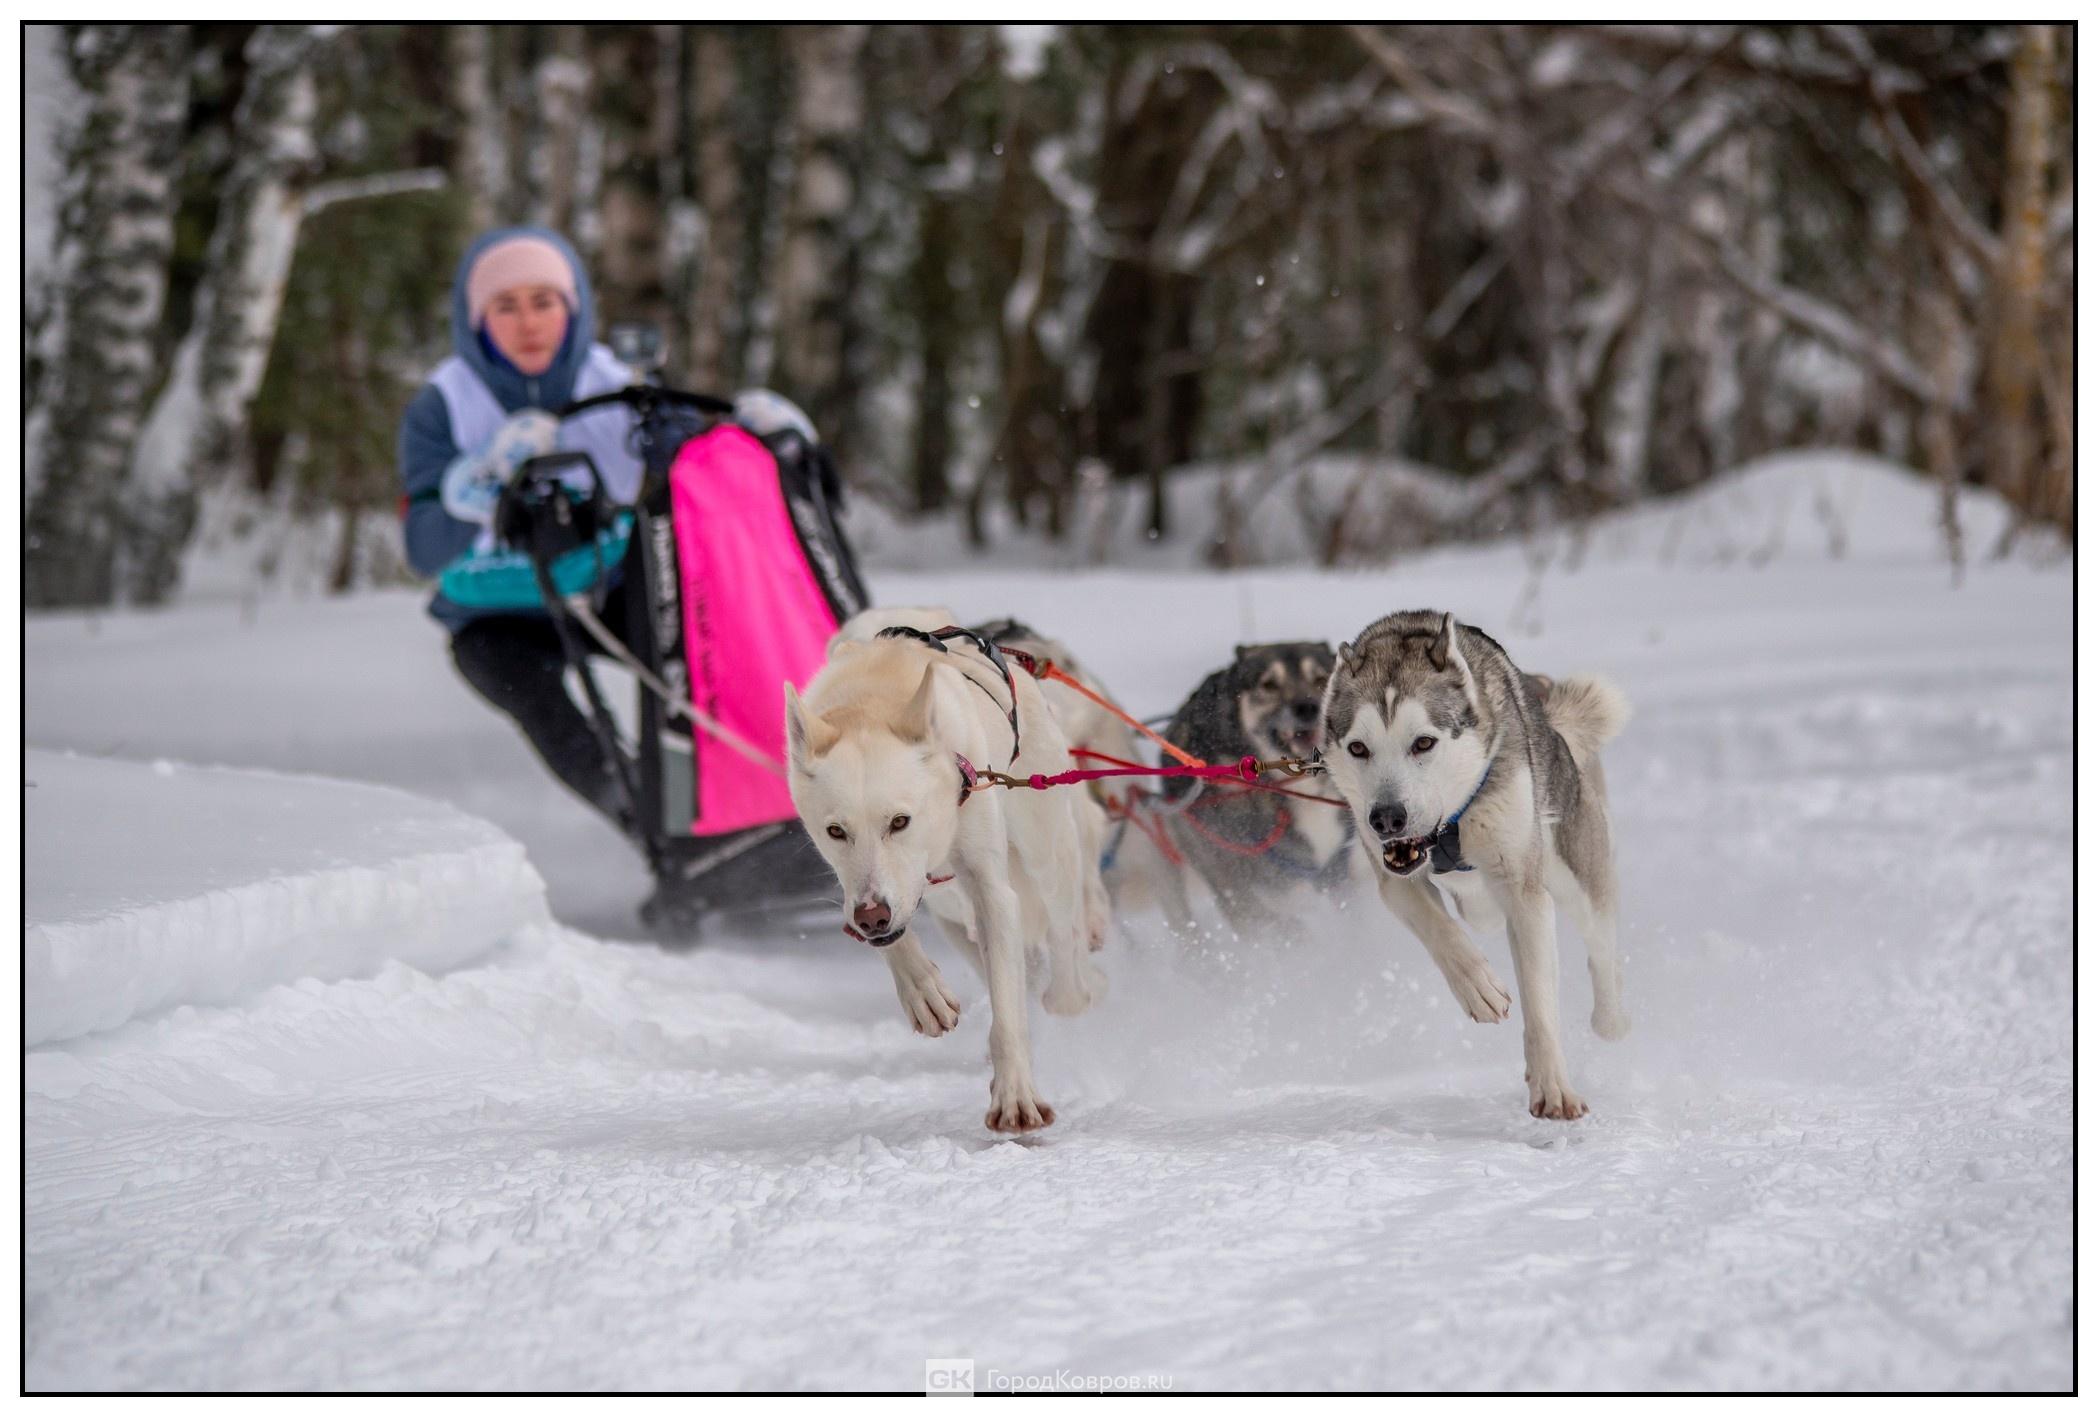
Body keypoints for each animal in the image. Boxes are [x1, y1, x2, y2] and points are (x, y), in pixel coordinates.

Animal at [788, 617, 1116, 1133]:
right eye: (835, 831)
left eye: (900, 821)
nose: (872, 918)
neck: (873, 695)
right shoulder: (866, 889)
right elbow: (895, 933)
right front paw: (923, 990)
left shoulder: (990, 889)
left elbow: (1009, 1011)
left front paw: (1015, 1095)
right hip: (951, 911)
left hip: (1047, 851)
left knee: (1065, 941)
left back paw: (1077, 984)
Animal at [1317, 608, 1628, 1116]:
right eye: (1359, 748)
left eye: (1423, 743)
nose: (1386, 818)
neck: (1451, 830)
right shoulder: (1395, 881)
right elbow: (1438, 929)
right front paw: (1478, 986)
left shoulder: (1524, 890)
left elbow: (1540, 1001)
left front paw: (1553, 1087)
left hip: (1578, 872)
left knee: (1602, 948)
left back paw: (1611, 1019)